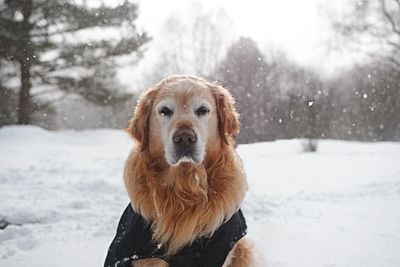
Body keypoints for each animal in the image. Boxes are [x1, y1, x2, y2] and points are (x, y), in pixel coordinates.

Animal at [107, 75, 253, 267]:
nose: (185, 138)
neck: (185, 186)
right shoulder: (145, 255)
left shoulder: (218, 250)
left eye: (203, 110)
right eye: (164, 111)